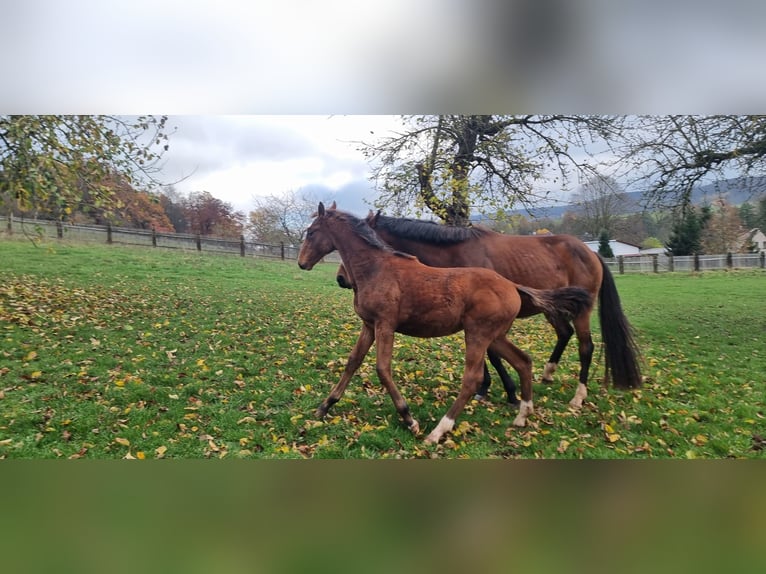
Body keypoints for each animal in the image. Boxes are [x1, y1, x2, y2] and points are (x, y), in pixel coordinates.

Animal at [298, 202, 593, 444]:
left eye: (311, 232)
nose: (302, 263)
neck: (376, 268)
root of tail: (512, 285)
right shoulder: (369, 326)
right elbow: (352, 362)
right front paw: (325, 406)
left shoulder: (385, 325)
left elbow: (382, 369)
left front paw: (409, 419)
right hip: (496, 336)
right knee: (523, 361)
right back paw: (522, 414)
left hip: (477, 334)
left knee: (473, 378)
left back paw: (439, 430)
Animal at [354, 211, 642, 409]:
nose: (347, 279)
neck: (455, 254)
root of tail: (591, 253)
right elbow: (490, 355)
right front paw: (490, 388)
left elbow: (492, 355)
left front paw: (508, 392)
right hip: (554, 309)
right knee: (564, 333)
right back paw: (548, 373)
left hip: (582, 311)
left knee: (585, 347)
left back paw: (578, 395)